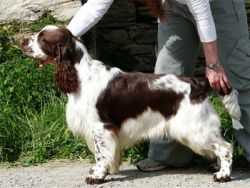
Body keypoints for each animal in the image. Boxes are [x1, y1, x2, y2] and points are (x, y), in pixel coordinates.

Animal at [21, 25, 242, 184]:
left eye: (42, 38)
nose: (21, 40)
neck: (80, 75)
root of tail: (198, 83)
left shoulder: (100, 127)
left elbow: (101, 154)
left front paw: (97, 176)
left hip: (194, 128)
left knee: (225, 147)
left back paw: (222, 175)